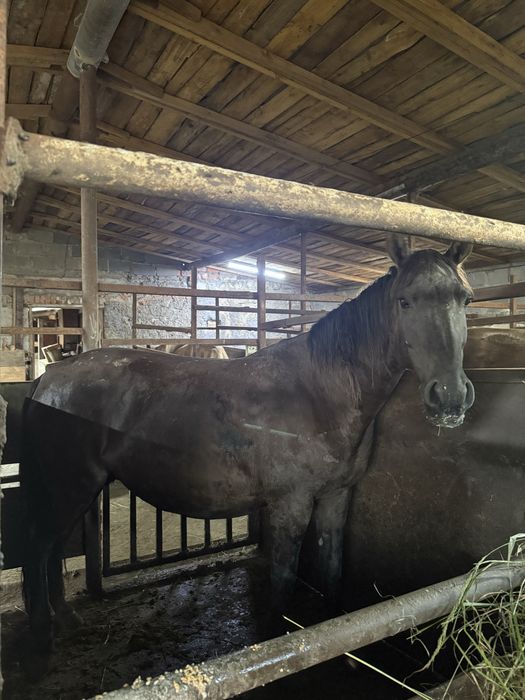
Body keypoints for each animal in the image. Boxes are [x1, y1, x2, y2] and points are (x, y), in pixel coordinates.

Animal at [21, 235, 475, 653]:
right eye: (404, 301)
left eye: (465, 299)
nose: (449, 398)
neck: (320, 393)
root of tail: (49, 378)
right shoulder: (291, 505)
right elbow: (283, 583)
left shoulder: (336, 497)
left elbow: (332, 571)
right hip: (71, 487)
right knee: (40, 547)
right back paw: (42, 635)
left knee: (52, 547)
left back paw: (65, 619)